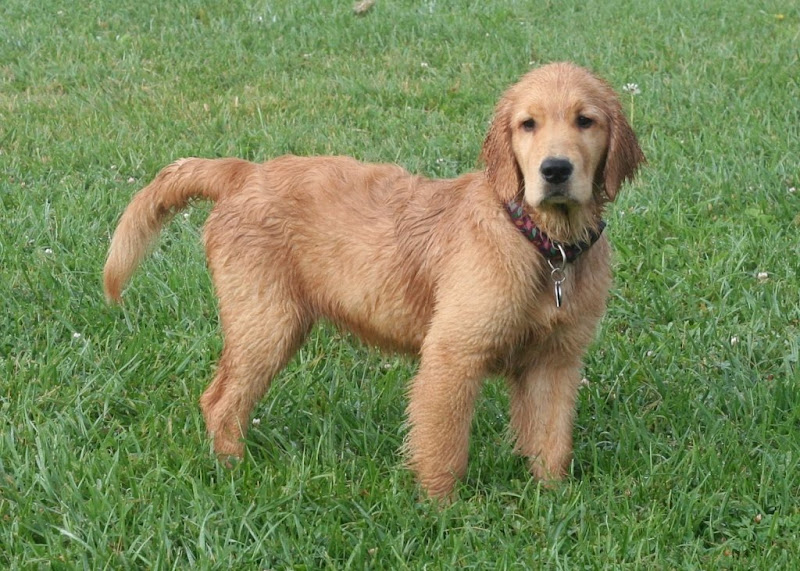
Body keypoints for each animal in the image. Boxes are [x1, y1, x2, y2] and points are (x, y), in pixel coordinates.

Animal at [104, 63, 644, 500]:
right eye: (527, 124)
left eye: (585, 120)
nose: (555, 170)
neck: (542, 243)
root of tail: (243, 173)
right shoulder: (452, 354)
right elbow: (443, 444)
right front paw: (442, 512)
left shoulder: (556, 360)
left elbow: (551, 442)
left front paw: (552, 502)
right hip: (266, 321)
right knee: (219, 401)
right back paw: (233, 471)